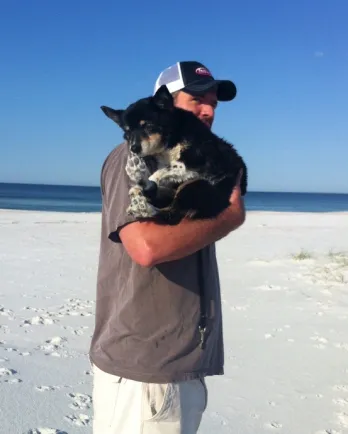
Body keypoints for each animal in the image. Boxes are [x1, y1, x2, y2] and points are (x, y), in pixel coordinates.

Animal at [100, 85, 247, 227]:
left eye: (148, 125)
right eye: (127, 131)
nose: (134, 148)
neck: (173, 137)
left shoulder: (201, 161)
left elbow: (166, 169)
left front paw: (147, 182)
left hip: (197, 187)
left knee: (171, 214)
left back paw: (144, 205)